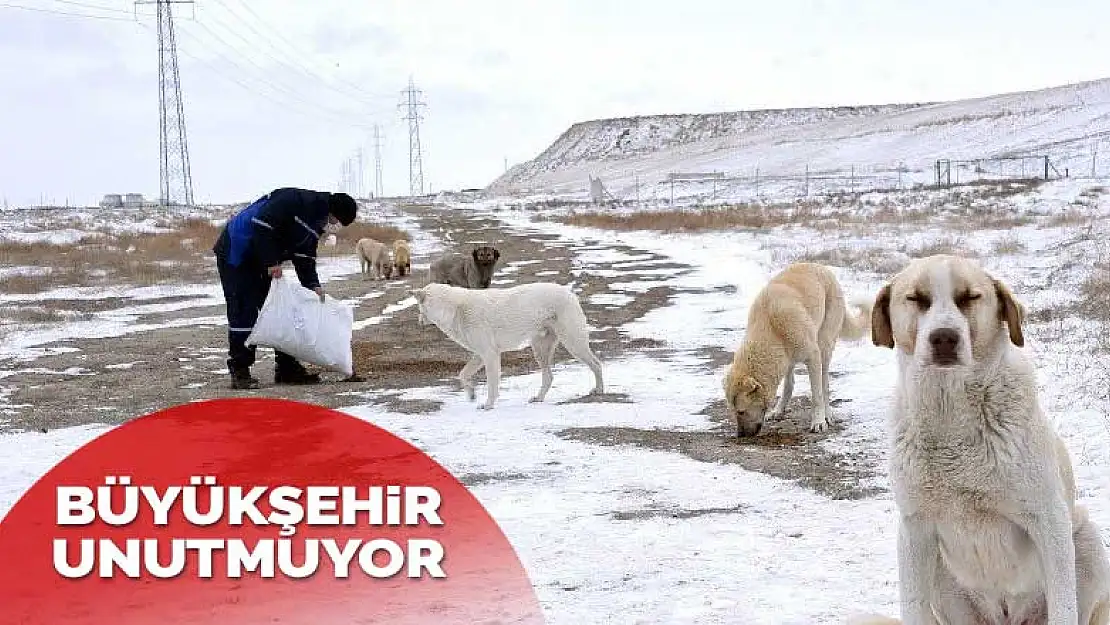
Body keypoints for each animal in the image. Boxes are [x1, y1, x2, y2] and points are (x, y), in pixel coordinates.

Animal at [408, 284, 603, 410]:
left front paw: (488, 405)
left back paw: (599, 390)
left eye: (418, 307)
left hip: (573, 344)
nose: (418, 322)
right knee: (549, 377)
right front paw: (471, 394)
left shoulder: (490, 355)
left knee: (596, 364)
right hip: (540, 350)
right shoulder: (479, 355)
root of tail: (570, 293)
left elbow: (492, 384)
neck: (455, 309)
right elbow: (462, 374)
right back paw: (538, 398)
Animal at [723, 261, 870, 437]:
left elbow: (817, 394)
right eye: (733, 411)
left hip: (824, 345)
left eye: (741, 411)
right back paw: (779, 410)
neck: (770, 327)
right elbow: (789, 386)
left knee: (825, 384)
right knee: (790, 383)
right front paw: (778, 410)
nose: (740, 435)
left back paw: (827, 414)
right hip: (791, 358)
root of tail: (821, 267)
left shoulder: (813, 357)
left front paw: (818, 422)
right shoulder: (783, 358)